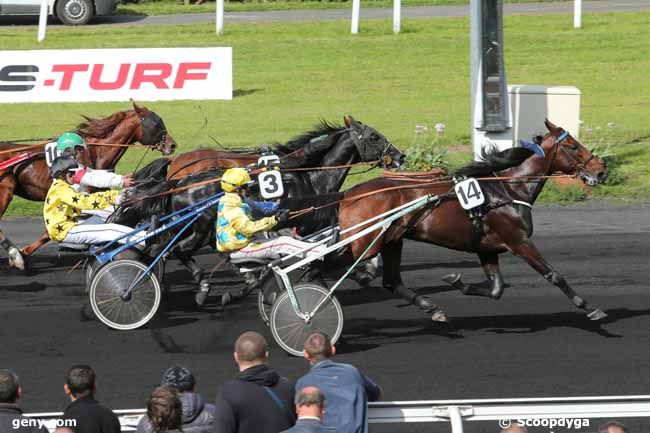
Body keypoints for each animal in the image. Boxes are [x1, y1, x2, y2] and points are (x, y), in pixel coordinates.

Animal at [0, 102, 176, 270]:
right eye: (156, 123)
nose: (172, 145)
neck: (94, 153)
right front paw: (23, 254)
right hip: (6, 189)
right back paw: (14, 254)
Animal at [111, 114, 404, 284]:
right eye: (375, 136)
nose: (400, 156)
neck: (309, 174)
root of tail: (180, 180)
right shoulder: (307, 224)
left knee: (162, 249)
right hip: (201, 228)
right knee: (174, 250)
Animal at [304, 118, 608, 320]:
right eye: (573, 146)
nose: (601, 170)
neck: (509, 190)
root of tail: (349, 194)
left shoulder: (487, 248)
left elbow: (496, 289)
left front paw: (457, 282)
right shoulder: (518, 240)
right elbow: (553, 274)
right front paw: (589, 307)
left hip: (390, 240)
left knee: (390, 281)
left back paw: (432, 308)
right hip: (365, 242)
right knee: (320, 267)